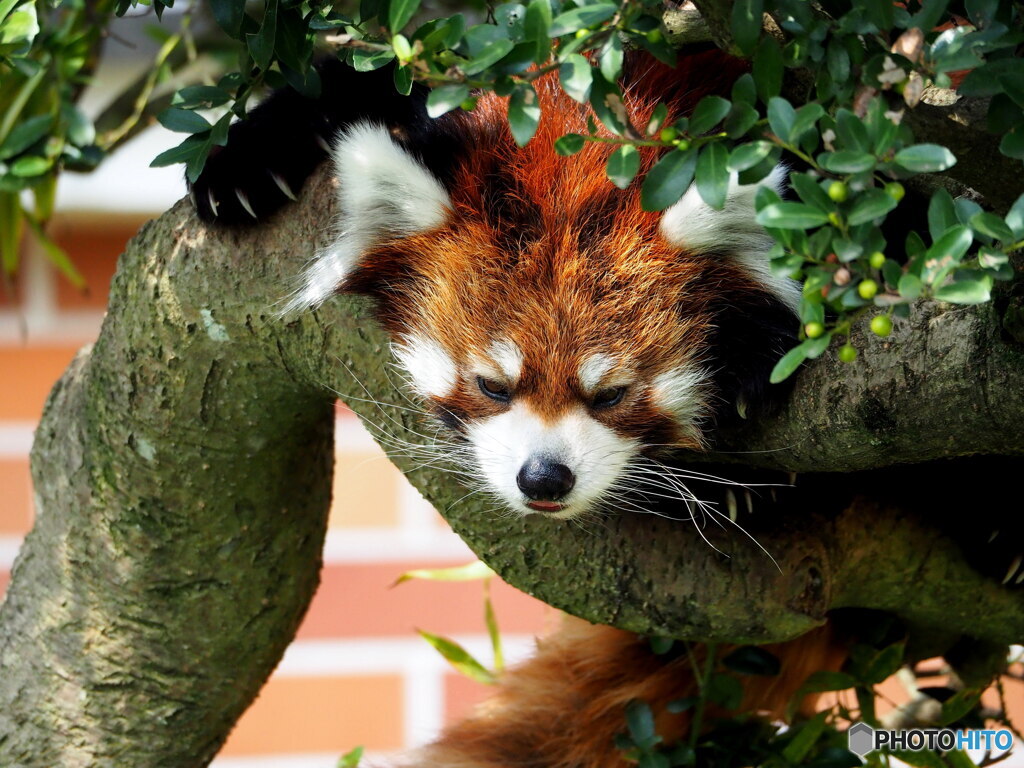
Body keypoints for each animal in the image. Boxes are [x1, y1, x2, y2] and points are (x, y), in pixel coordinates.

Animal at [188, 46, 843, 768]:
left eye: (610, 394)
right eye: (493, 386)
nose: (545, 478)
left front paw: (752, 381)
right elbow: (358, 74)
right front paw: (242, 162)